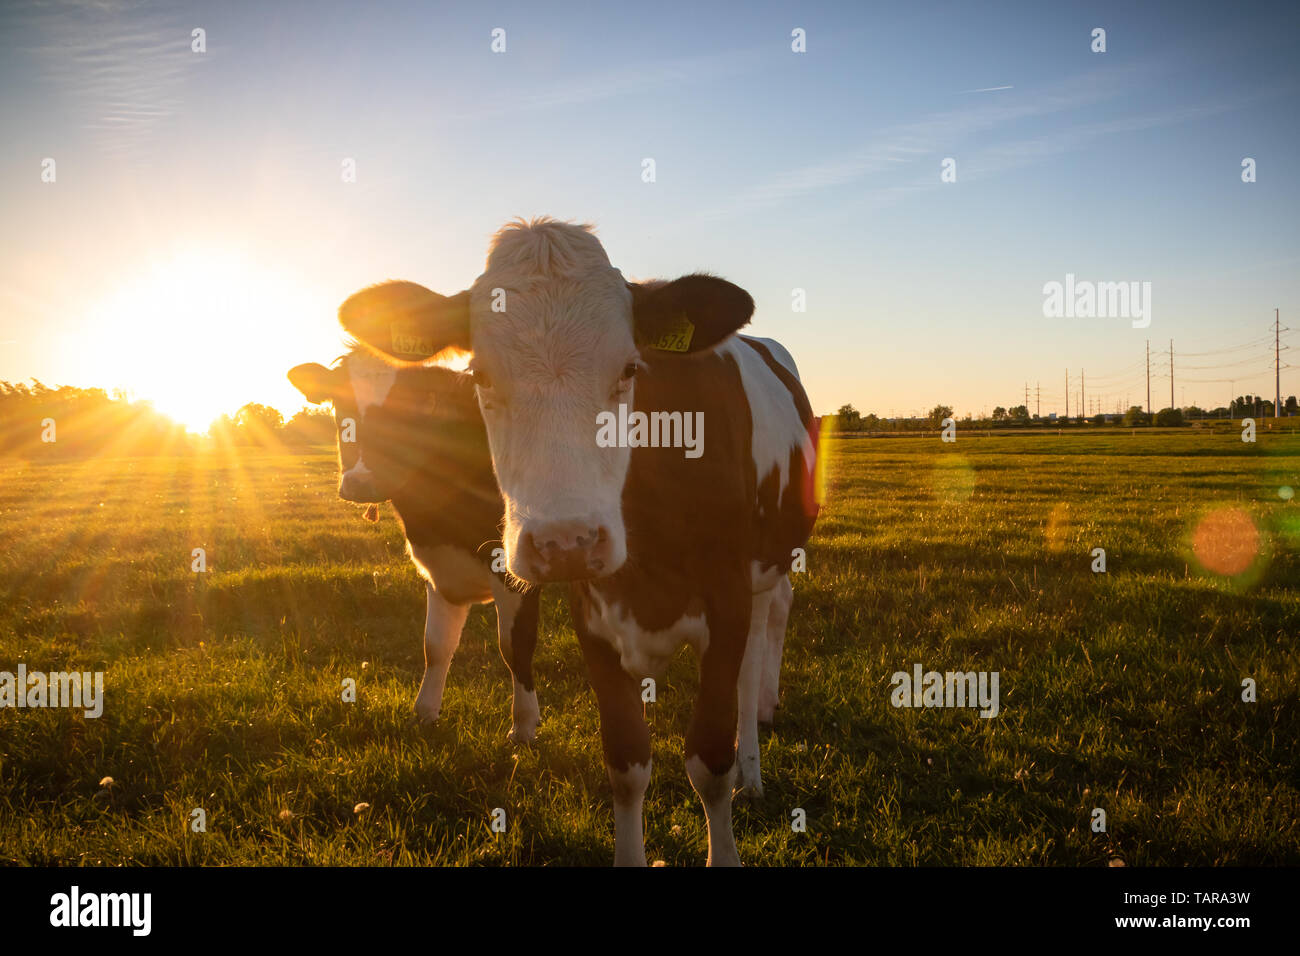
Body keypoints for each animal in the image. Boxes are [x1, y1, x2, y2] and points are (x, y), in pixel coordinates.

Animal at [291, 280, 543, 743]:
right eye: (337, 405)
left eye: (408, 405)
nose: (360, 482)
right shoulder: (437, 567)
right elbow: (435, 645)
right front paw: (425, 713)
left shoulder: (516, 567)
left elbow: (514, 646)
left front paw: (523, 727)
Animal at [345, 222, 811, 868]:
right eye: (479, 377)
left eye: (630, 368)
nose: (565, 541)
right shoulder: (592, 616)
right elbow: (626, 761)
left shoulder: (727, 602)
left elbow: (709, 762)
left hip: (770, 566)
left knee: (763, 646)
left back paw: (756, 747)